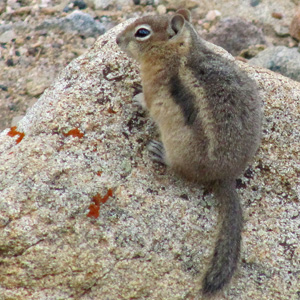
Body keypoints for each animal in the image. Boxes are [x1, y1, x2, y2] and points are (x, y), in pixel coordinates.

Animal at [116, 8, 262, 296]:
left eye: (142, 32)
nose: (117, 40)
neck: (179, 51)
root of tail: (225, 176)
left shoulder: (153, 88)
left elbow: (146, 100)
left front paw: (136, 98)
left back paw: (160, 153)